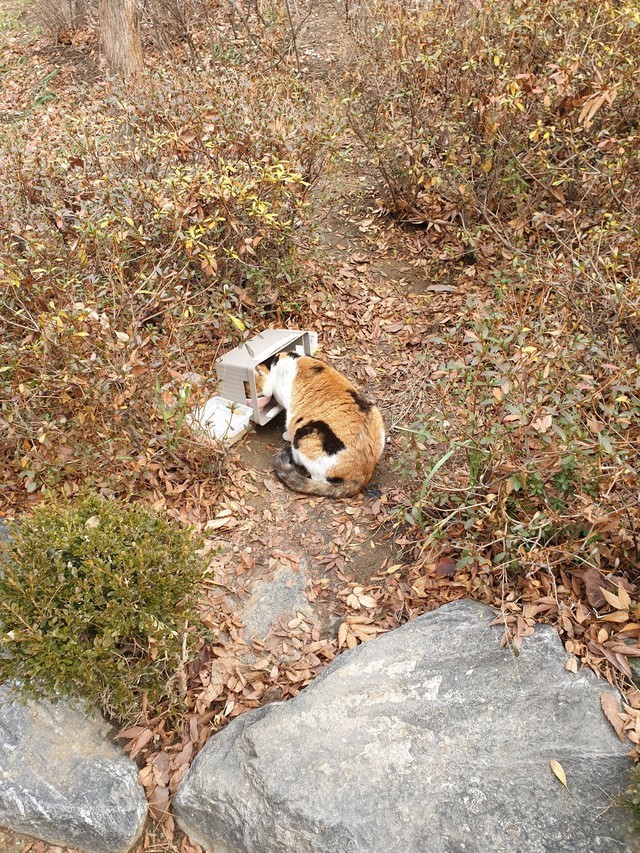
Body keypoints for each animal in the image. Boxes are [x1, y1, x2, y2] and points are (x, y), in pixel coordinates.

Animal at [254, 352, 385, 498]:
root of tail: (362, 478)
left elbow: (284, 414)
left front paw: (283, 429)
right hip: (376, 417)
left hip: (306, 435)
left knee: (315, 476)